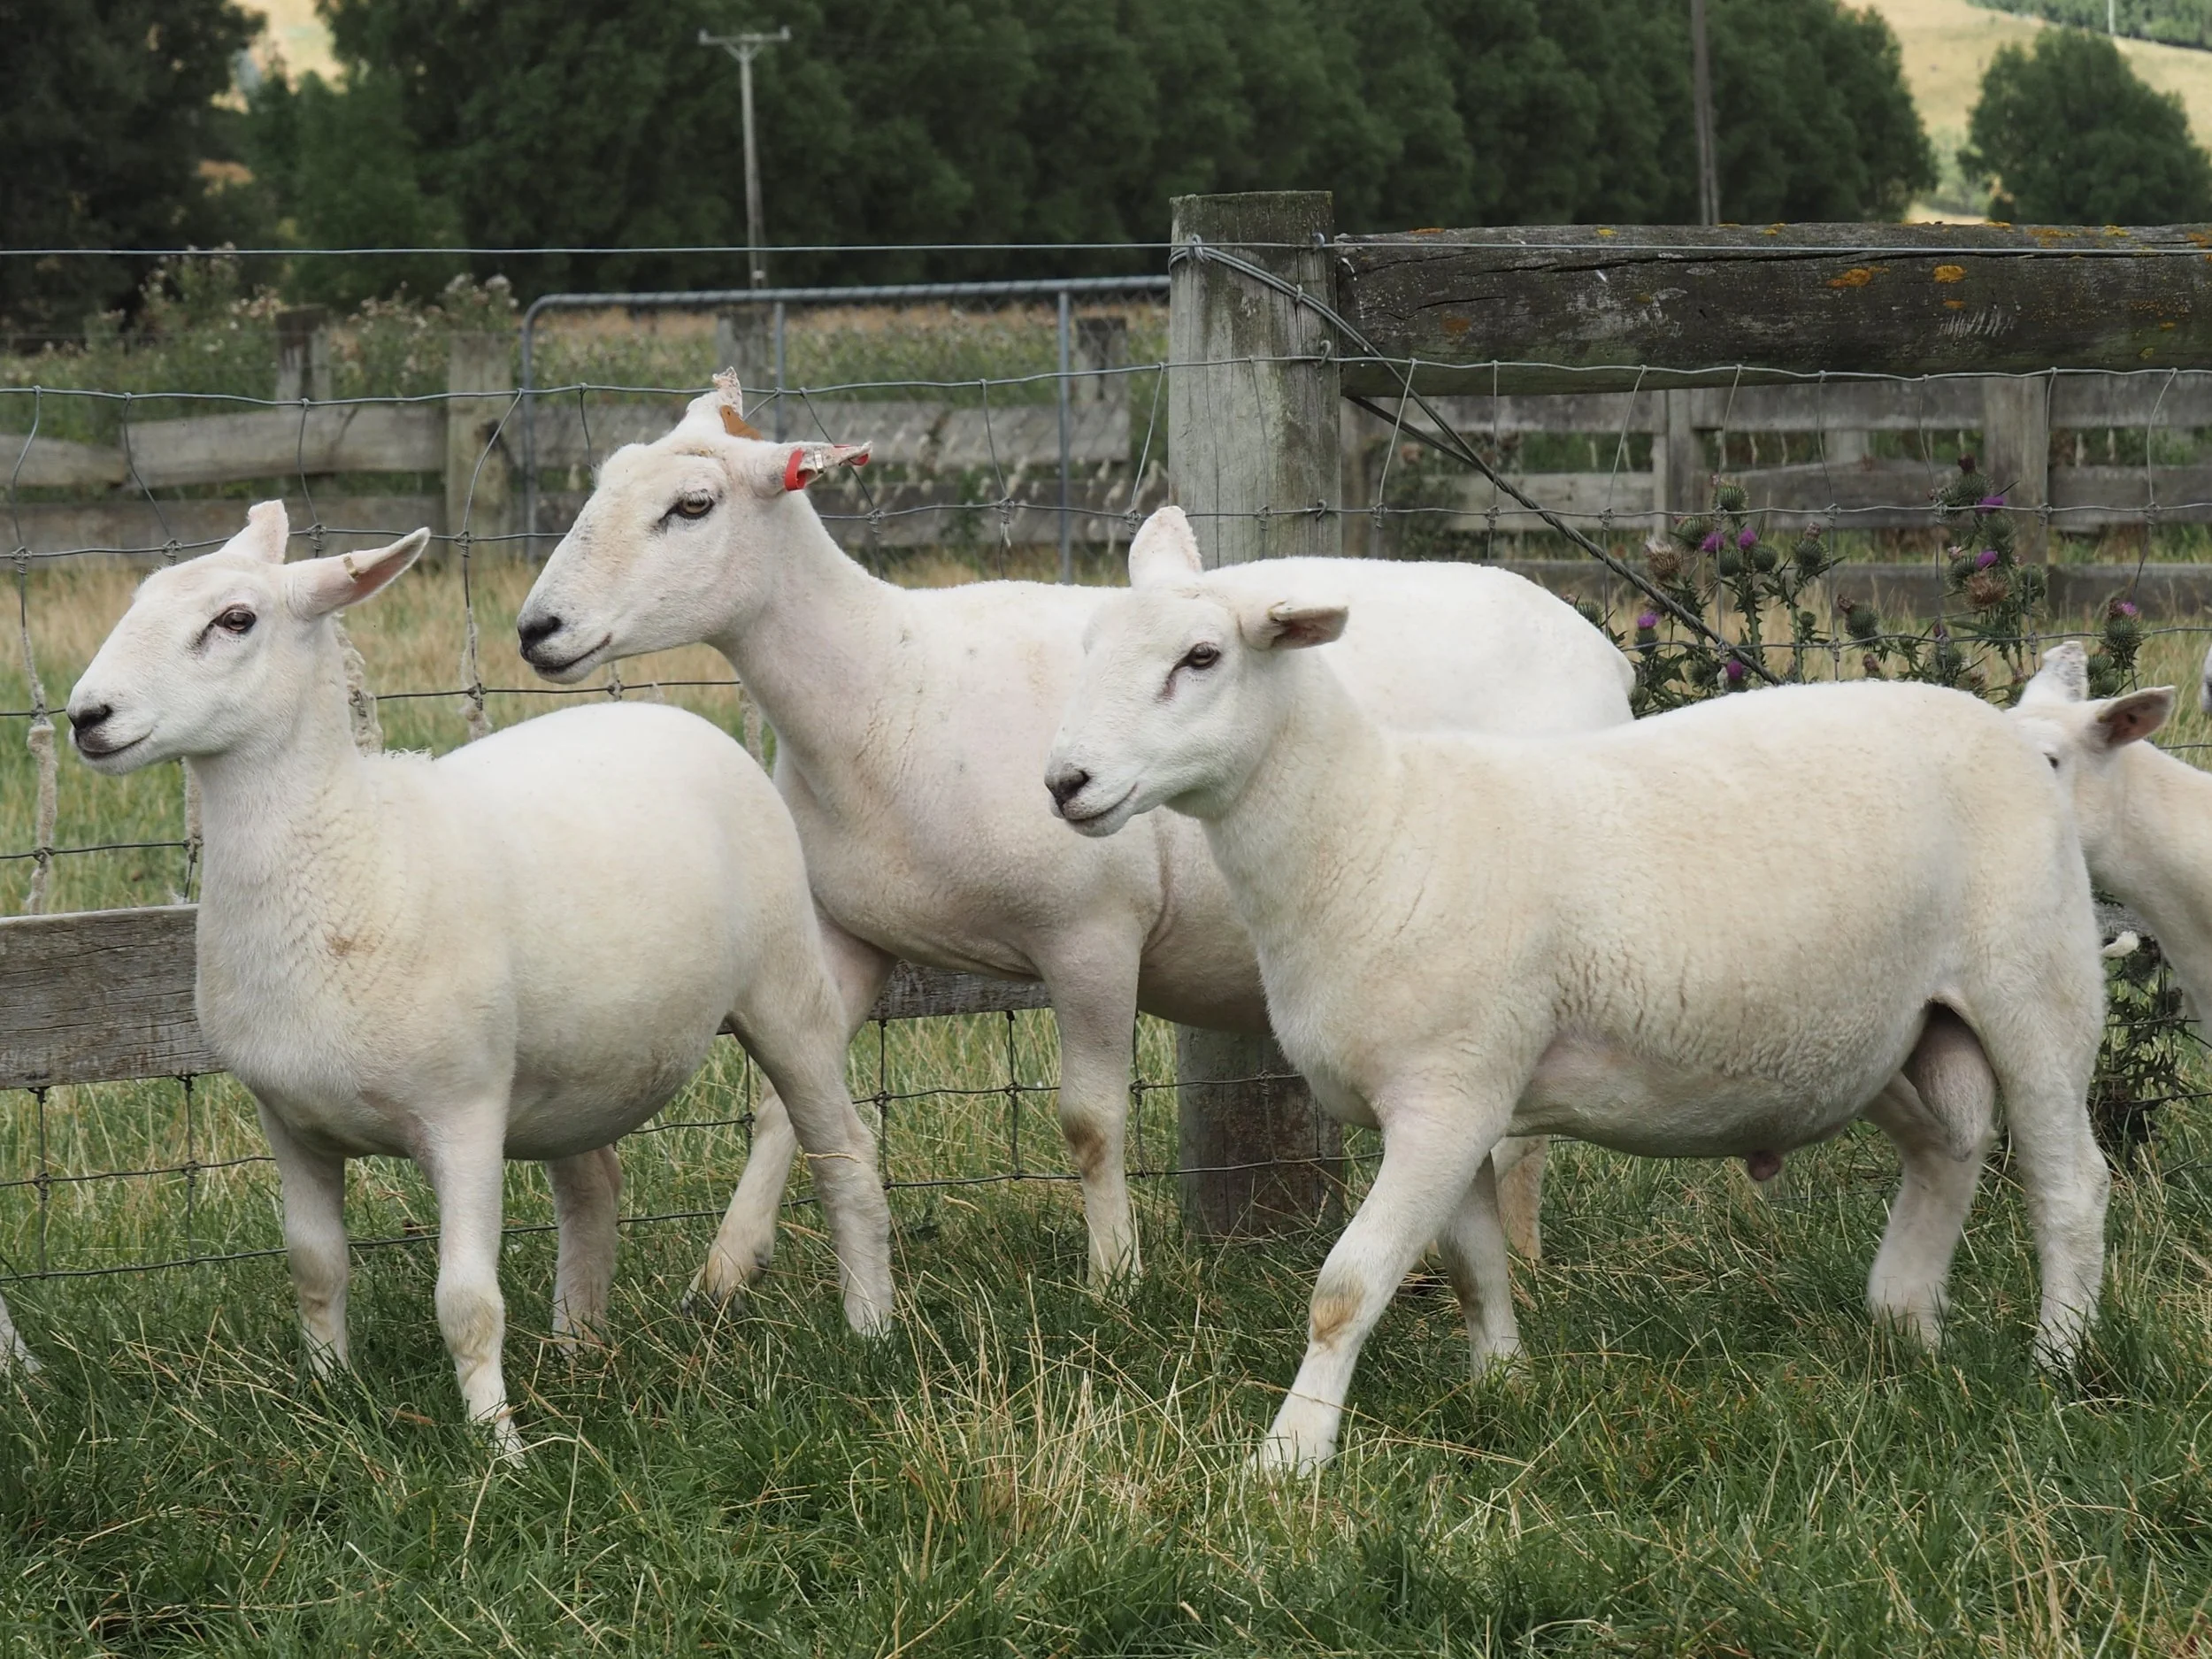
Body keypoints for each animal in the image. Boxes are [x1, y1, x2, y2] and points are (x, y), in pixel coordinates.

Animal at [64, 502, 894, 1458]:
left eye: (235, 620)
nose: (87, 715)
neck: (354, 846)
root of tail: (672, 713)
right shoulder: (290, 1121)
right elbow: (315, 1268)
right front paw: (329, 1396)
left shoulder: (461, 1111)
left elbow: (465, 1301)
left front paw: (500, 1447)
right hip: (580, 1065)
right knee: (594, 1188)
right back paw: (578, 1346)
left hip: (786, 985)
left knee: (842, 1150)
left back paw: (870, 1325)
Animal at [511, 377, 1637, 1292]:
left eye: (691, 508)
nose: (536, 631)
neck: (885, 685)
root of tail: (1601, 649)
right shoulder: (849, 936)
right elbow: (790, 1106)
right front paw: (723, 1273)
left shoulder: (1091, 933)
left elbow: (1092, 1125)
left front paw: (1113, 1281)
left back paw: (1515, 1261)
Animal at [1043, 566, 2112, 1471]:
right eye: (1086, 647)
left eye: (1202, 657)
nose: (1063, 783)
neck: (1370, 828)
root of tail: (2009, 729)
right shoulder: (1458, 1099)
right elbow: (1473, 1267)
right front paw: (1504, 1387)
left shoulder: (1445, 1093)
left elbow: (1344, 1288)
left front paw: (1290, 1455)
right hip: (1887, 1034)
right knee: (1945, 1152)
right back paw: (1903, 1328)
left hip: (2035, 983)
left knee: (2070, 1184)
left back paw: (2054, 1365)